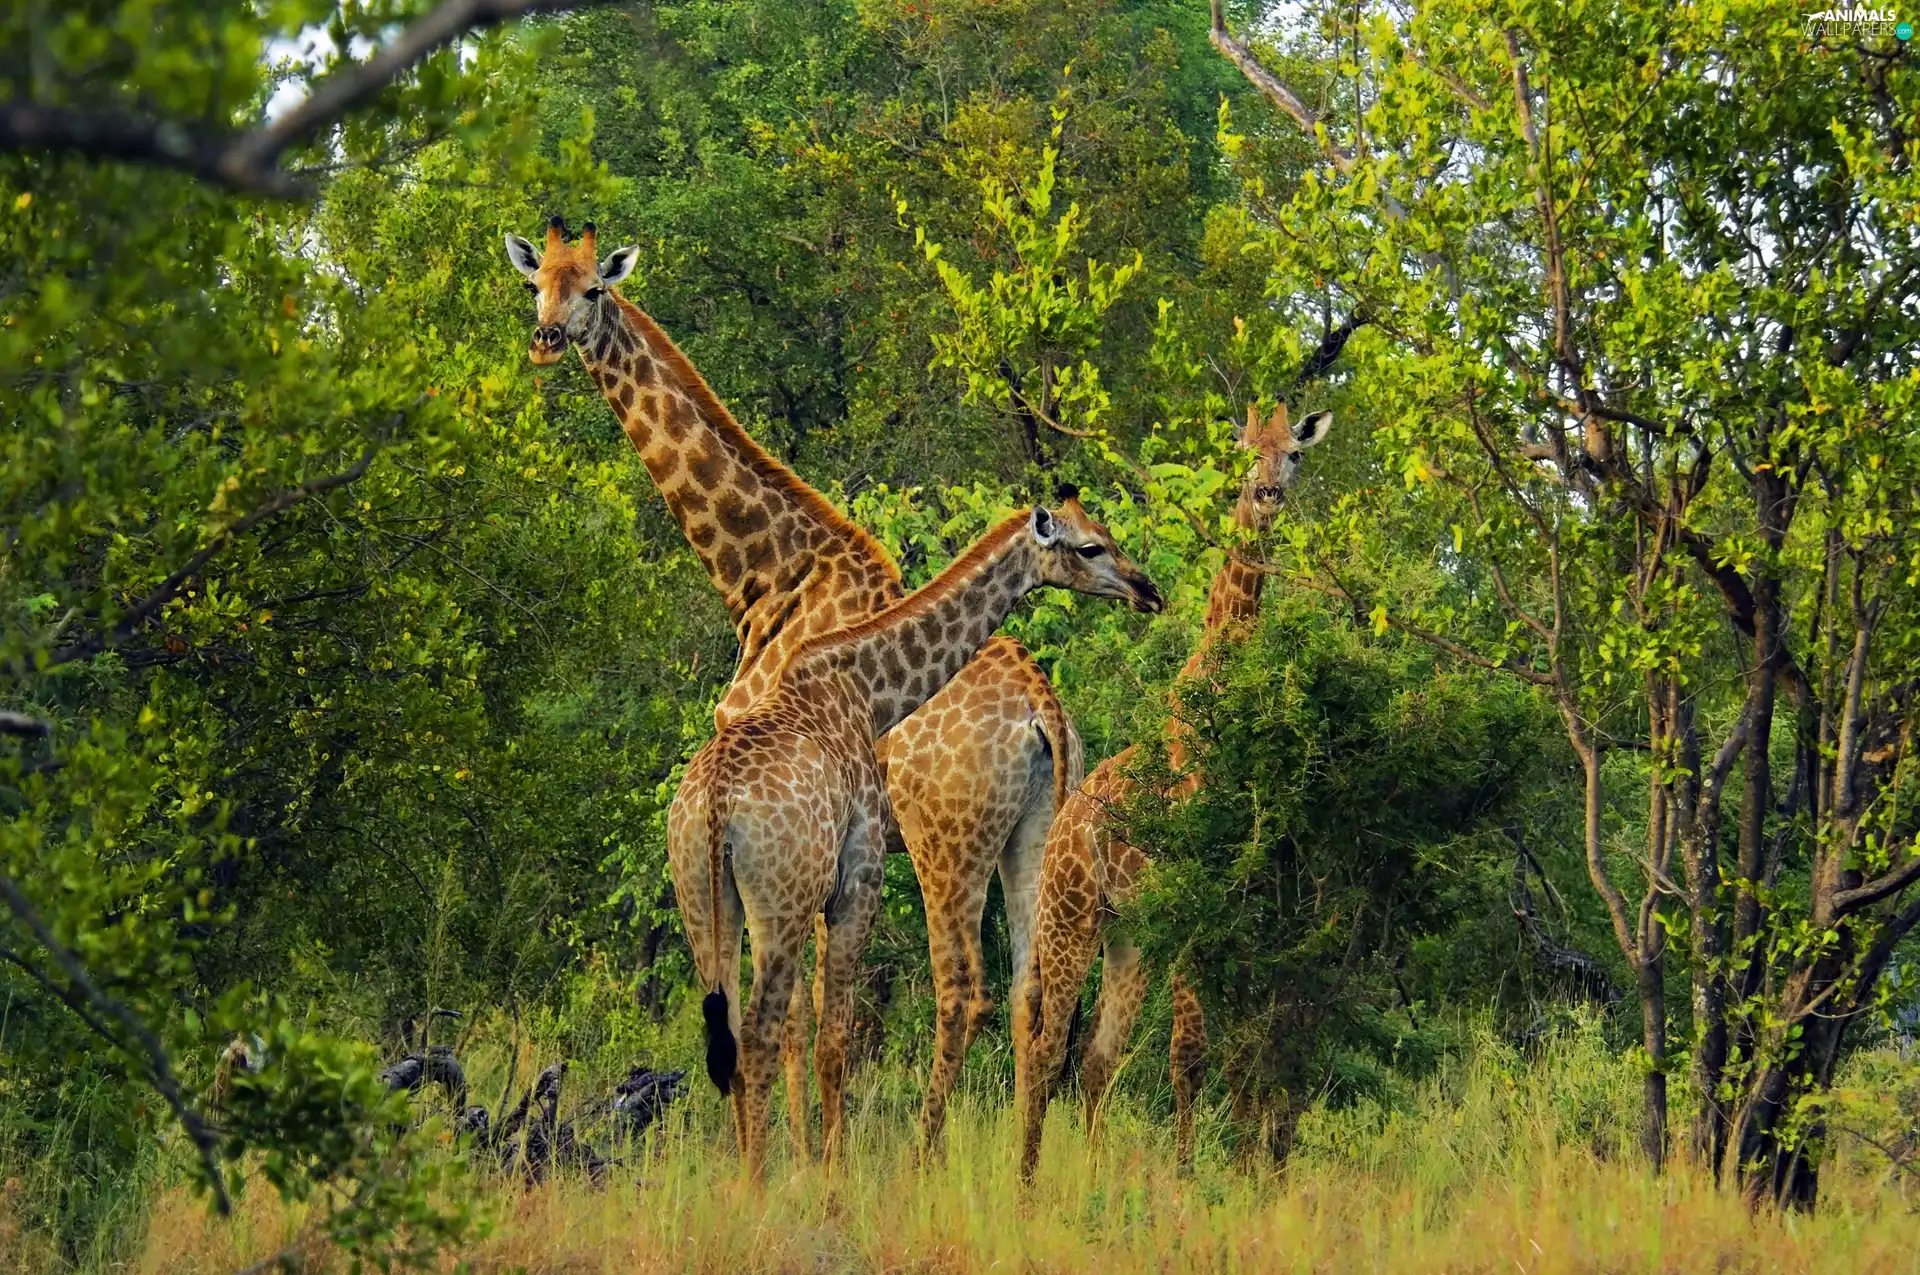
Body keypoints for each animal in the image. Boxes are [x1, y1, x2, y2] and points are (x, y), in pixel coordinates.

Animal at [504, 217, 1085, 1151]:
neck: (765, 576)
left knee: (963, 993)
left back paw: (925, 1154)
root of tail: (1044, 715)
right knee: (1036, 995)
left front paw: (808, 1153)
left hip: (946, 846)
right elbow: (815, 1010)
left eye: (593, 287)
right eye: (537, 285)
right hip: (1031, 833)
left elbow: (798, 1015)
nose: (548, 338)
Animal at [669, 498, 1163, 1180]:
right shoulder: (858, 876)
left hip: (716, 898)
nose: (1149, 591)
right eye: (1091, 546)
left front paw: (818, 1166)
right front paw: (825, 1175)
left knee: (741, 1036)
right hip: (804, 895)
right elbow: (829, 1032)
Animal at [1013, 402, 1332, 1181]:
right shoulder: (1193, 898)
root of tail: (1061, 835)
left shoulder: (1237, 903)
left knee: (1098, 1057)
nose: (1266, 495)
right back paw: (1027, 1185)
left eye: (1294, 454)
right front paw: (1190, 1179)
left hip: (1128, 937)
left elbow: (1240, 1048)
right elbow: (1190, 1050)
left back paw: (1092, 1176)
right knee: (1046, 1048)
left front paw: (1247, 1172)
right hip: (1073, 922)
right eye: (1246, 450)